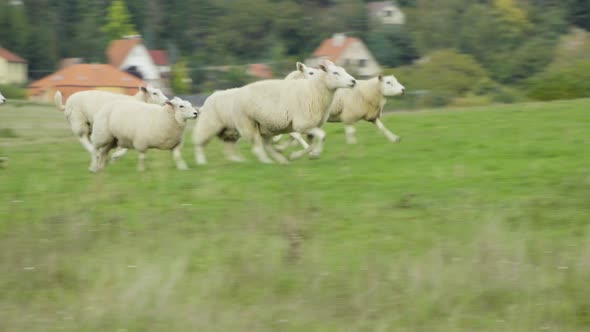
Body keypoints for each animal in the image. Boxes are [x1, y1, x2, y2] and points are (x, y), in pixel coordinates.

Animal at [195, 60, 356, 165]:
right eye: (335, 72)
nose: (354, 81)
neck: (312, 90)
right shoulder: (302, 124)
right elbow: (320, 136)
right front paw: (312, 154)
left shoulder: (310, 125)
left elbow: (311, 142)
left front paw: (301, 155)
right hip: (236, 123)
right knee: (255, 147)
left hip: (262, 126)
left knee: (244, 145)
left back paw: (276, 160)